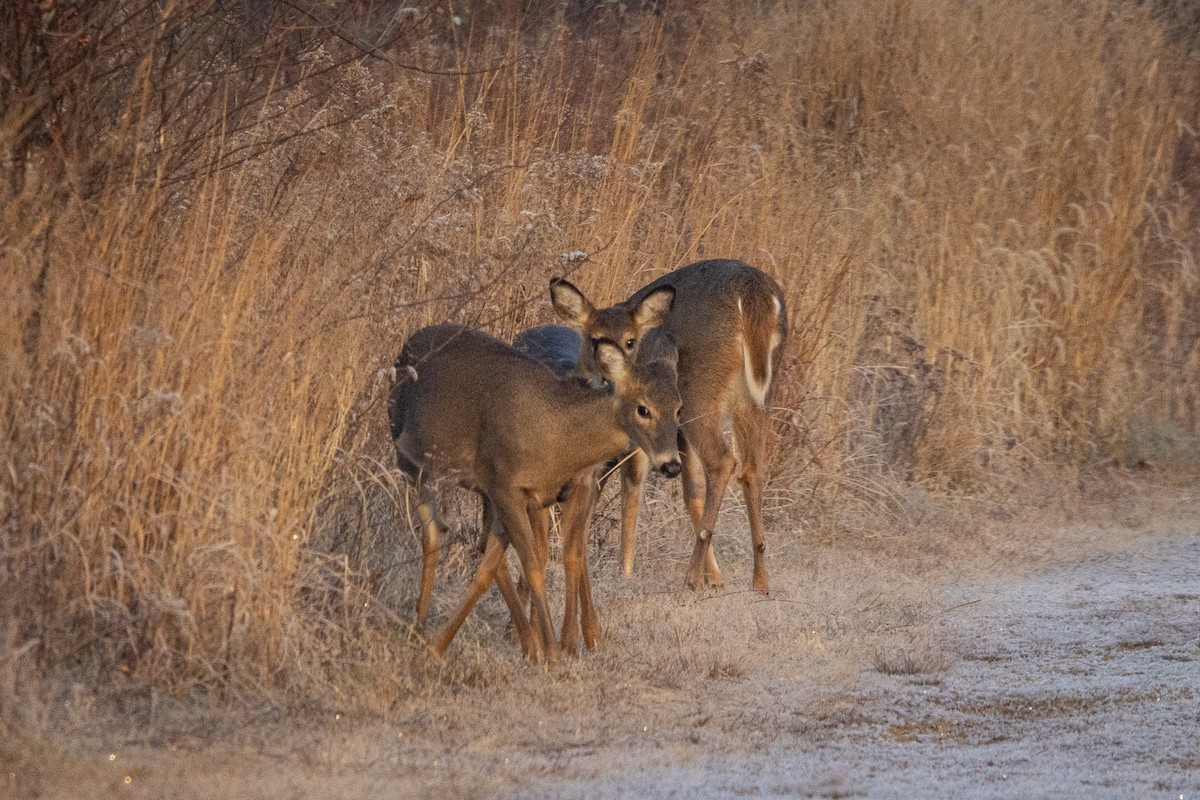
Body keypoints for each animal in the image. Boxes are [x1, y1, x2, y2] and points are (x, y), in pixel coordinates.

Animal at [388, 323, 682, 660]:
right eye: (643, 409)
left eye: (678, 408)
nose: (672, 465)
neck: (554, 434)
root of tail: (406, 346)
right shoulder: (506, 489)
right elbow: (533, 566)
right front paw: (552, 653)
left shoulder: (527, 495)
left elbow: (504, 565)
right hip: (412, 463)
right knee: (434, 532)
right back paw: (419, 626)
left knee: (475, 547)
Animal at [549, 258, 788, 595]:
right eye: (594, 339)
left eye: (631, 341)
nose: (611, 378)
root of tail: (754, 292)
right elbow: (690, 490)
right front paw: (715, 576)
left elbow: (632, 483)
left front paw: (624, 572)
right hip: (758, 395)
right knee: (752, 469)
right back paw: (760, 581)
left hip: (699, 393)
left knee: (722, 461)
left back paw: (691, 576)